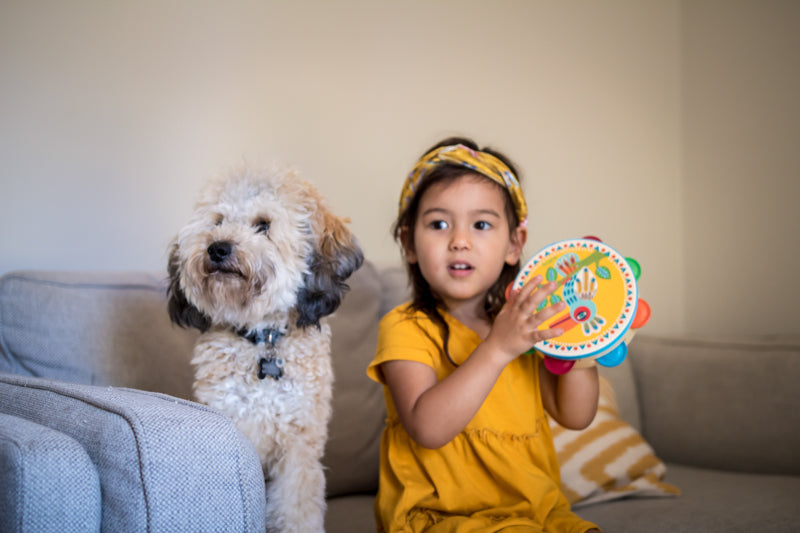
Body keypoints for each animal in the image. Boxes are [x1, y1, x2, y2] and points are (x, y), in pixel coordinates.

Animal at [167, 164, 363, 532]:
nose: (218, 248)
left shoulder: (299, 450)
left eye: (263, 225)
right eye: (217, 221)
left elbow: (296, 511)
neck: (262, 340)